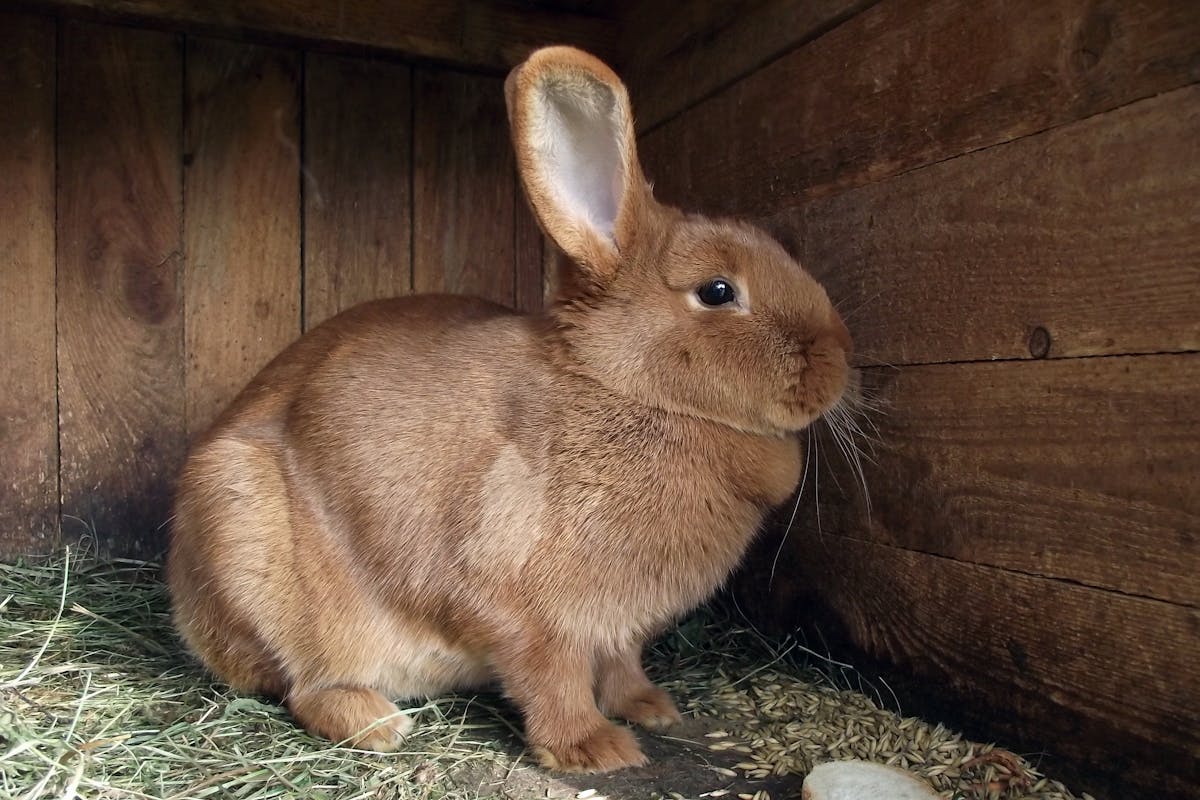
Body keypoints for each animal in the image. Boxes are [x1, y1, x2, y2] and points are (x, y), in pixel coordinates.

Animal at [167, 45, 853, 774]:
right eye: (718, 291)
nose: (839, 359)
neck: (626, 388)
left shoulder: (617, 628)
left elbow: (622, 666)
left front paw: (651, 708)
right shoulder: (519, 599)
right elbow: (549, 673)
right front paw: (595, 749)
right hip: (249, 542)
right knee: (302, 683)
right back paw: (376, 723)